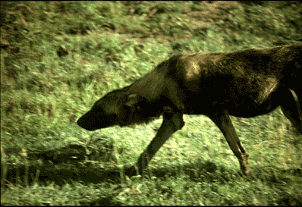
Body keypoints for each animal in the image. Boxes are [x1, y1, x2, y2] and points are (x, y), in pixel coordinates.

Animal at [78, 44, 302, 175]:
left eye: (98, 109)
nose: (78, 121)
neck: (164, 81)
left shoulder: (217, 113)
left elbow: (237, 148)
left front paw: (245, 174)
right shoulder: (173, 119)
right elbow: (148, 151)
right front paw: (133, 171)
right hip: (289, 108)